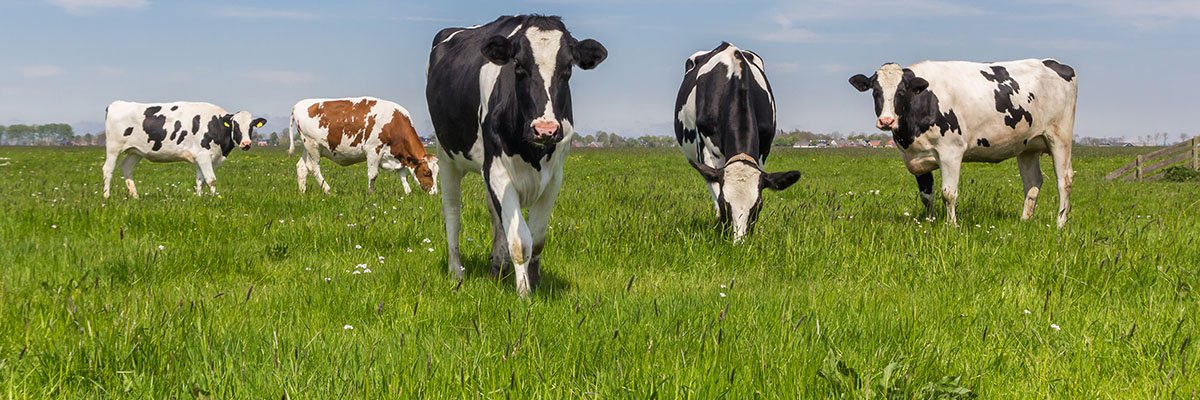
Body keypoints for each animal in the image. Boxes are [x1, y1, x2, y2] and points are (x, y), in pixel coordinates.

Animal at [102, 101, 265, 198]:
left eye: (251, 126)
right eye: (235, 125)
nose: (246, 143)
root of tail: (116, 104)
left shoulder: (201, 158)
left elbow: (200, 180)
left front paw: (199, 198)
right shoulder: (204, 155)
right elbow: (211, 180)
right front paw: (214, 199)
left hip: (136, 151)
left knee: (126, 167)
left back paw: (135, 196)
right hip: (113, 147)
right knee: (108, 169)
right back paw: (106, 196)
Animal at [288, 97, 439, 195]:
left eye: (437, 173)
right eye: (427, 173)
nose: (434, 193)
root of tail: (299, 105)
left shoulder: (399, 155)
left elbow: (403, 175)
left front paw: (408, 194)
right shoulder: (373, 150)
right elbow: (373, 175)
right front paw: (370, 194)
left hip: (309, 148)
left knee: (301, 167)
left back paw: (302, 193)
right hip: (312, 145)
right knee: (313, 167)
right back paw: (328, 190)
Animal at [424, 14, 609, 295]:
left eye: (568, 67)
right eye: (519, 65)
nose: (545, 129)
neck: (532, 152)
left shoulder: (554, 177)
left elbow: (537, 239)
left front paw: (534, 281)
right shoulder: (498, 171)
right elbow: (521, 241)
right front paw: (524, 294)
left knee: (495, 215)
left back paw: (497, 267)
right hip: (446, 157)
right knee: (452, 212)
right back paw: (456, 271)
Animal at [672, 42, 801, 240]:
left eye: (758, 206)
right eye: (725, 204)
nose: (739, 242)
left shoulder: (763, 150)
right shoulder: (707, 151)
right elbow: (716, 189)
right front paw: (721, 230)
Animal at [849, 59, 1084, 227]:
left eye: (901, 91)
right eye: (875, 91)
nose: (886, 121)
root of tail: (1053, 63)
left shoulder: (950, 152)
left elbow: (948, 194)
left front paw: (951, 226)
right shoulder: (917, 157)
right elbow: (926, 195)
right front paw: (930, 223)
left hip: (1059, 137)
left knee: (1064, 180)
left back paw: (1060, 223)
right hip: (1028, 146)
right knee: (1032, 183)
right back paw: (1024, 221)